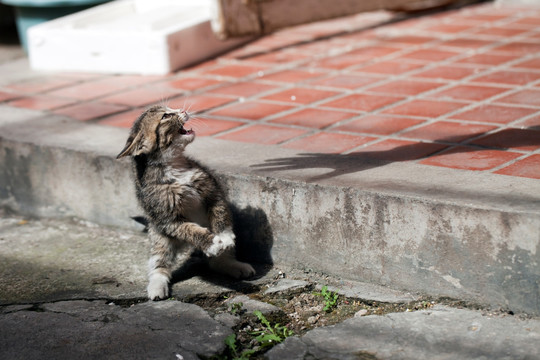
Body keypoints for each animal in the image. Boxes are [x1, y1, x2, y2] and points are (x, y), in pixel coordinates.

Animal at [116, 105, 255, 300]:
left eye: (170, 109)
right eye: (166, 116)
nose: (181, 110)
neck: (174, 165)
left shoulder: (213, 192)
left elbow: (220, 213)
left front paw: (226, 236)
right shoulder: (167, 219)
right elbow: (191, 230)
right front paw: (212, 243)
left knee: (216, 263)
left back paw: (233, 265)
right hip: (160, 236)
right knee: (159, 262)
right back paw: (156, 285)